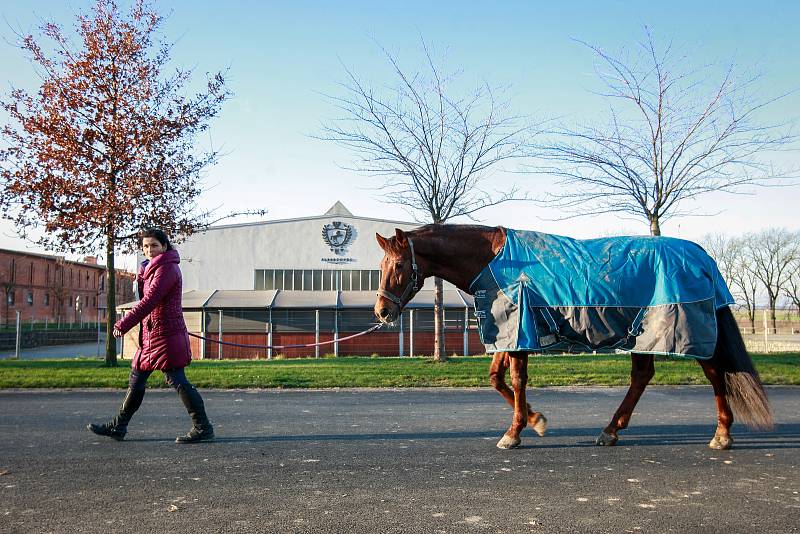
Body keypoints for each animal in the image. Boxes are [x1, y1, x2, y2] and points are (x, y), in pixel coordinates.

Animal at [376, 224, 776, 450]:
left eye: (399, 265)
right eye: (380, 266)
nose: (382, 312)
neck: (494, 261)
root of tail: (704, 258)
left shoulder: (521, 327)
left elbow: (517, 379)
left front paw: (515, 432)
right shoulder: (509, 331)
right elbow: (496, 378)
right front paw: (536, 420)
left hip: (683, 328)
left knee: (713, 372)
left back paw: (721, 434)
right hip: (641, 334)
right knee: (642, 376)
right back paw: (611, 430)